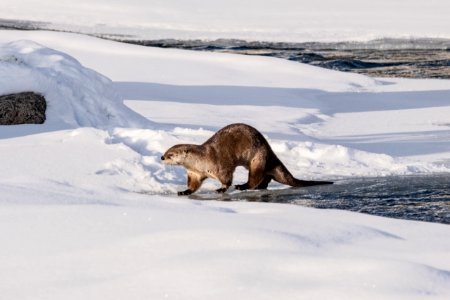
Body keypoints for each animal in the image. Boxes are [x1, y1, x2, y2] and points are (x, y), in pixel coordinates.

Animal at [162, 123, 334, 196]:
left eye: (170, 154)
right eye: (165, 151)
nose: (162, 157)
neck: (201, 162)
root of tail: (269, 151)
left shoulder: (220, 165)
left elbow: (227, 179)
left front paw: (221, 189)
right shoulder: (195, 173)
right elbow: (193, 185)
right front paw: (184, 191)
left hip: (257, 158)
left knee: (255, 177)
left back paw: (242, 186)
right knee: (265, 177)